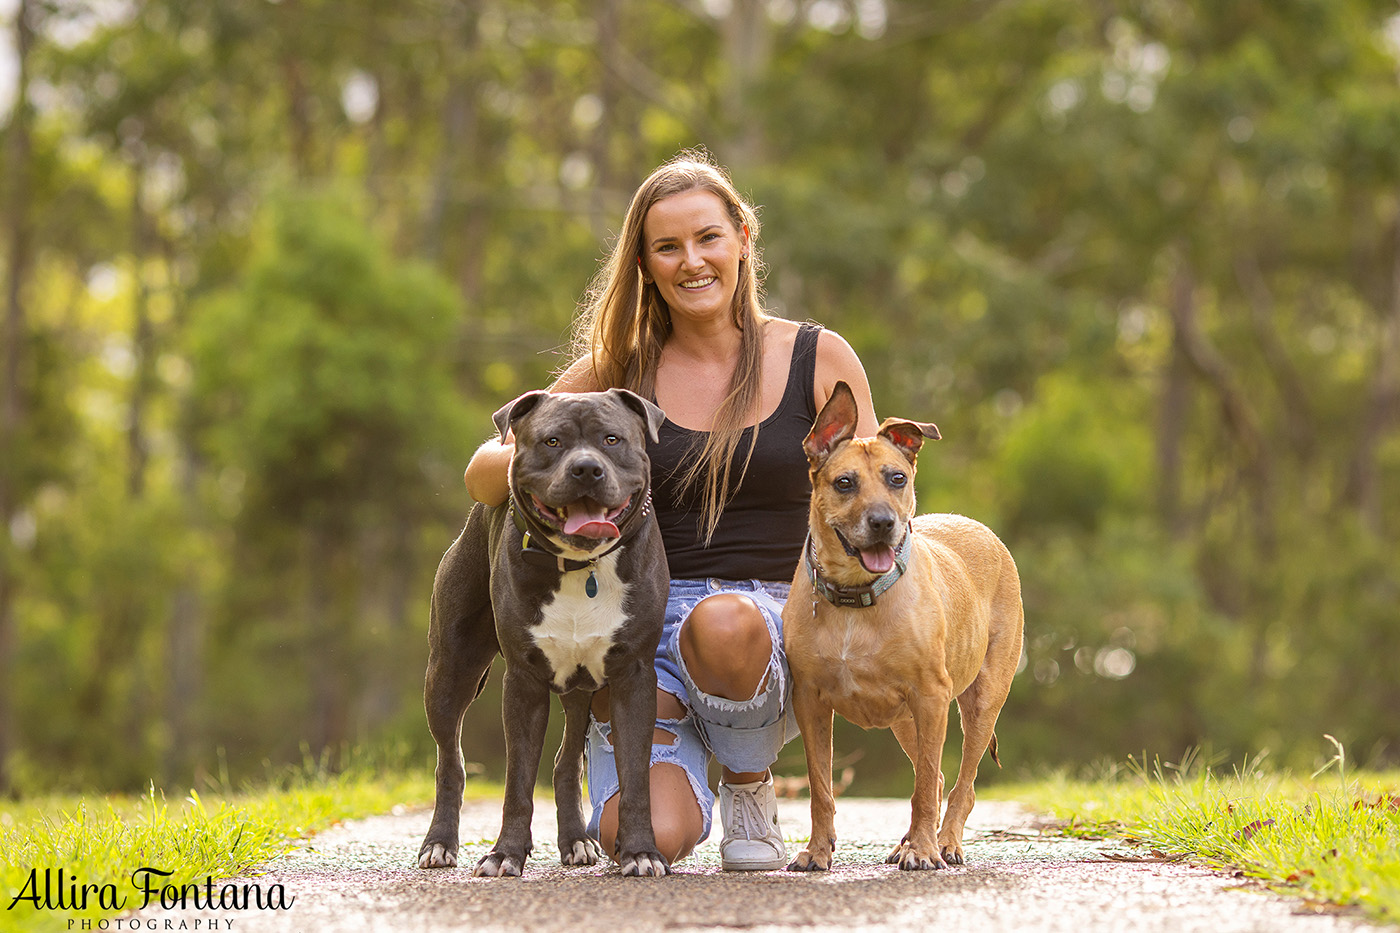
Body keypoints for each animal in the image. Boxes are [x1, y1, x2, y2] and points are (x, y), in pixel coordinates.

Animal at [784, 381, 1024, 874]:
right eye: (844, 483)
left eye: (897, 478)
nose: (883, 522)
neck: (855, 596)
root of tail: (976, 525)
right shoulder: (810, 701)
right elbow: (821, 787)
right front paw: (817, 851)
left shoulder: (930, 696)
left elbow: (923, 791)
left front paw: (925, 850)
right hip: (905, 721)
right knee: (937, 777)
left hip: (981, 698)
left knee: (959, 784)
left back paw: (944, 843)